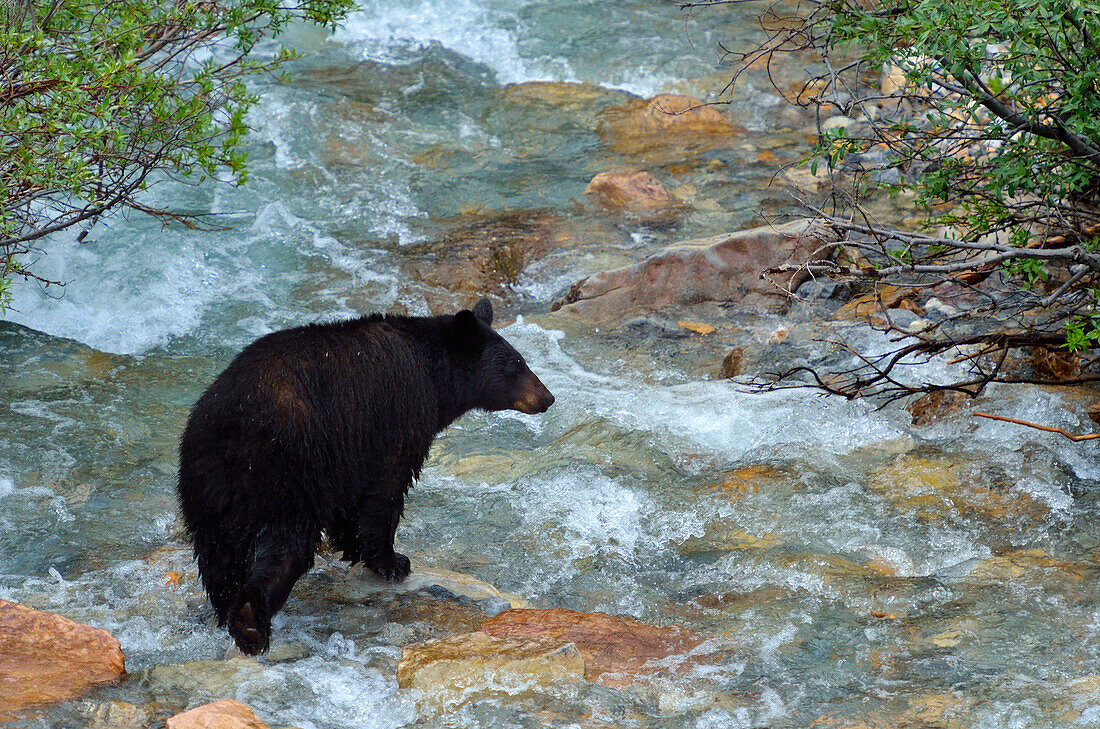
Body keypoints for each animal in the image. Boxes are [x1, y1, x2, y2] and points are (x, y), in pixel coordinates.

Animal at [182, 299, 558, 650]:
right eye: (516, 365)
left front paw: (355, 548)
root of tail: (230, 431)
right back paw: (250, 623)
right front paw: (393, 561)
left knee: (218, 558)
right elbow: (385, 492)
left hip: (206, 488)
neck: (432, 373)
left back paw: (227, 610)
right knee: (286, 547)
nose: (548, 397)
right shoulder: (393, 420)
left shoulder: (346, 456)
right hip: (286, 473)